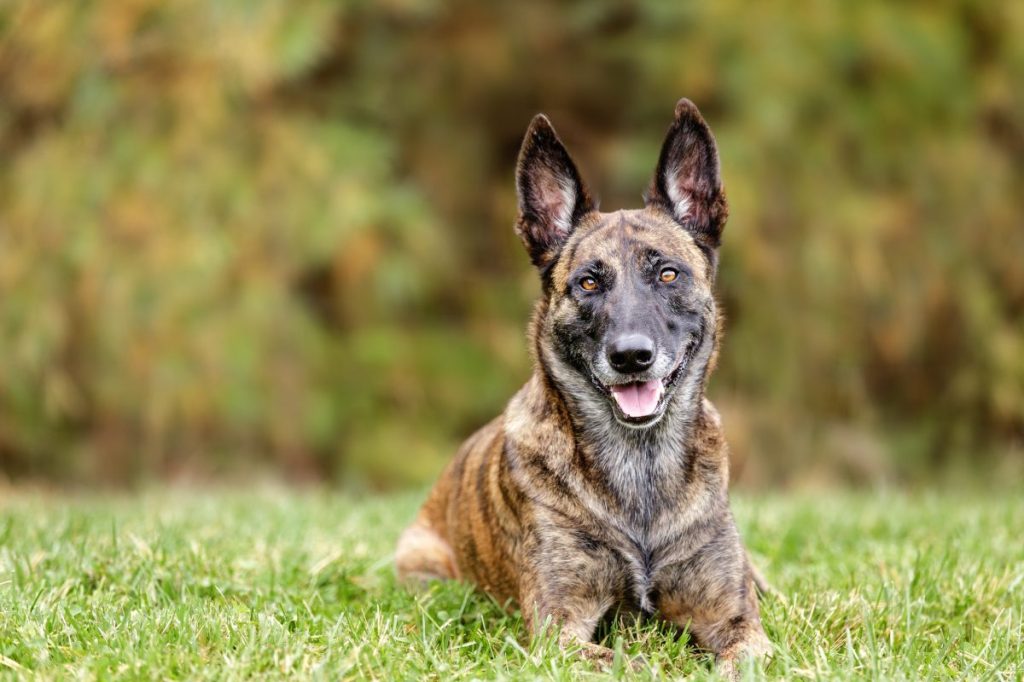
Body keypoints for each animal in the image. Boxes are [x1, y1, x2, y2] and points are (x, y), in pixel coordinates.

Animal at [395, 98, 770, 671]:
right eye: (588, 282)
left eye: (667, 274)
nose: (631, 356)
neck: (640, 467)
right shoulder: (560, 630)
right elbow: (628, 663)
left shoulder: (737, 620)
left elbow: (742, 652)